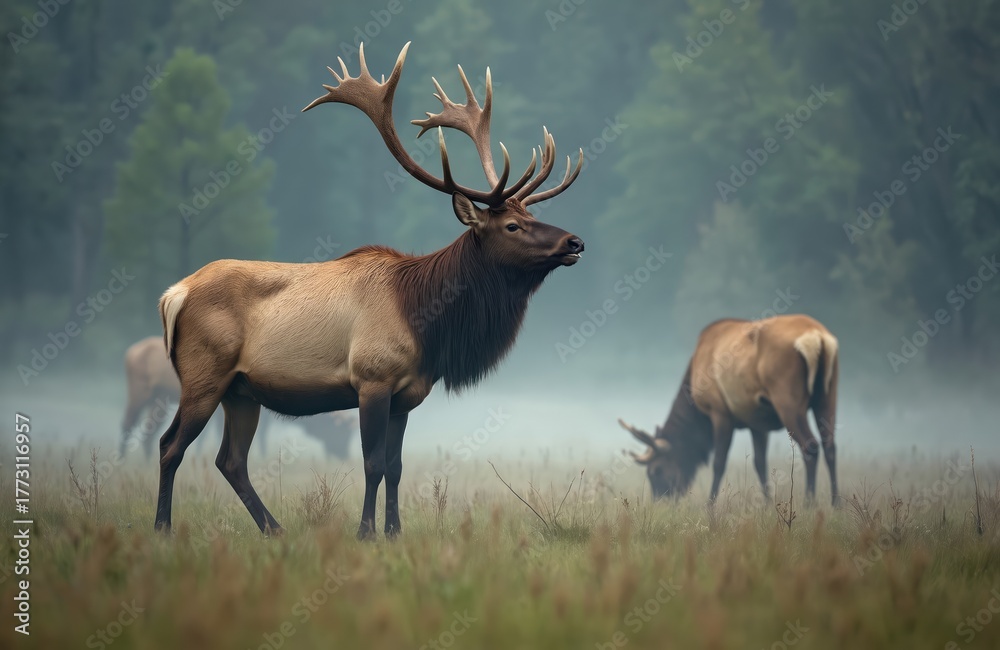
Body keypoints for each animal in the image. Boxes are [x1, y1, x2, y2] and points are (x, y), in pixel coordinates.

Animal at [153, 42, 585, 539]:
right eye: (513, 225)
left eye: (531, 216)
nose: (575, 242)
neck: (426, 323)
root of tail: (174, 295)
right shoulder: (372, 379)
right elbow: (373, 463)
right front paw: (365, 533)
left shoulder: (406, 396)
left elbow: (395, 467)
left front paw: (395, 532)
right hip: (203, 374)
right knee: (170, 445)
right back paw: (163, 528)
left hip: (240, 390)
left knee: (230, 460)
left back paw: (274, 529)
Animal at [618, 314, 839, 506]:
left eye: (656, 470)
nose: (660, 501)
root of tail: (817, 336)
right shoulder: (757, 422)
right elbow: (760, 463)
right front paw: (767, 504)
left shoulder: (719, 412)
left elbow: (719, 463)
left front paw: (710, 505)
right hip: (828, 396)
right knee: (830, 446)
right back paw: (836, 503)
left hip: (787, 399)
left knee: (810, 445)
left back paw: (809, 503)